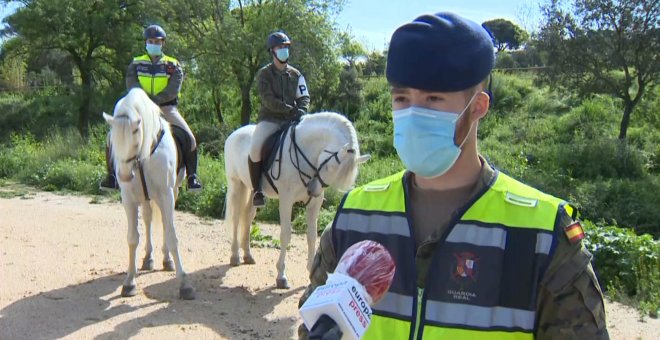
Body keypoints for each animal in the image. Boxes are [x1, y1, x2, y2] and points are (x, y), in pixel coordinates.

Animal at [103, 88, 195, 300]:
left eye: (136, 133)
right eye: (113, 140)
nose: (124, 175)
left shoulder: (167, 196)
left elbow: (171, 235)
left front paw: (184, 284)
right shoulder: (129, 200)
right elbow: (132, 238)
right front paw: (129, 282)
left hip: (171, 193)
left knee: (163, 225)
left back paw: (167, 260)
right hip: (145, 198)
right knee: (147, 219)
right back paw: (148, 258)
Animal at [226, 113, 372, 288]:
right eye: (330, 167)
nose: (312, 190)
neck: (306, 151)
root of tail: (235, 133)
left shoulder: (315, 203)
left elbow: (312, 235)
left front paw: (311, 271)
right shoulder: (286, 200)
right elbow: (285, 235)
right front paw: (281, 276)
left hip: (252, 191)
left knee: (247, 216)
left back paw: (247, 255)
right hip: (236, 185)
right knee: (235, 218)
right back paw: (235, 256)